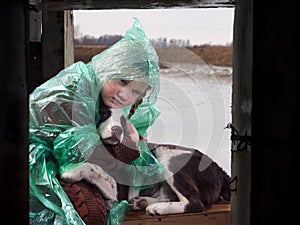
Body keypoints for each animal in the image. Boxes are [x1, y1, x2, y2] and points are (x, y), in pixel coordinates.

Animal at [59, 103, 231, 214]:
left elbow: (93, 167)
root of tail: (219, 169)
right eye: (103, 114)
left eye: (123, 121)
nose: (117, 129)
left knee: (194, 202)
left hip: (167, 156)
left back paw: (157, 208)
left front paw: (69, 172)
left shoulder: (119, 189)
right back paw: (142, 202)